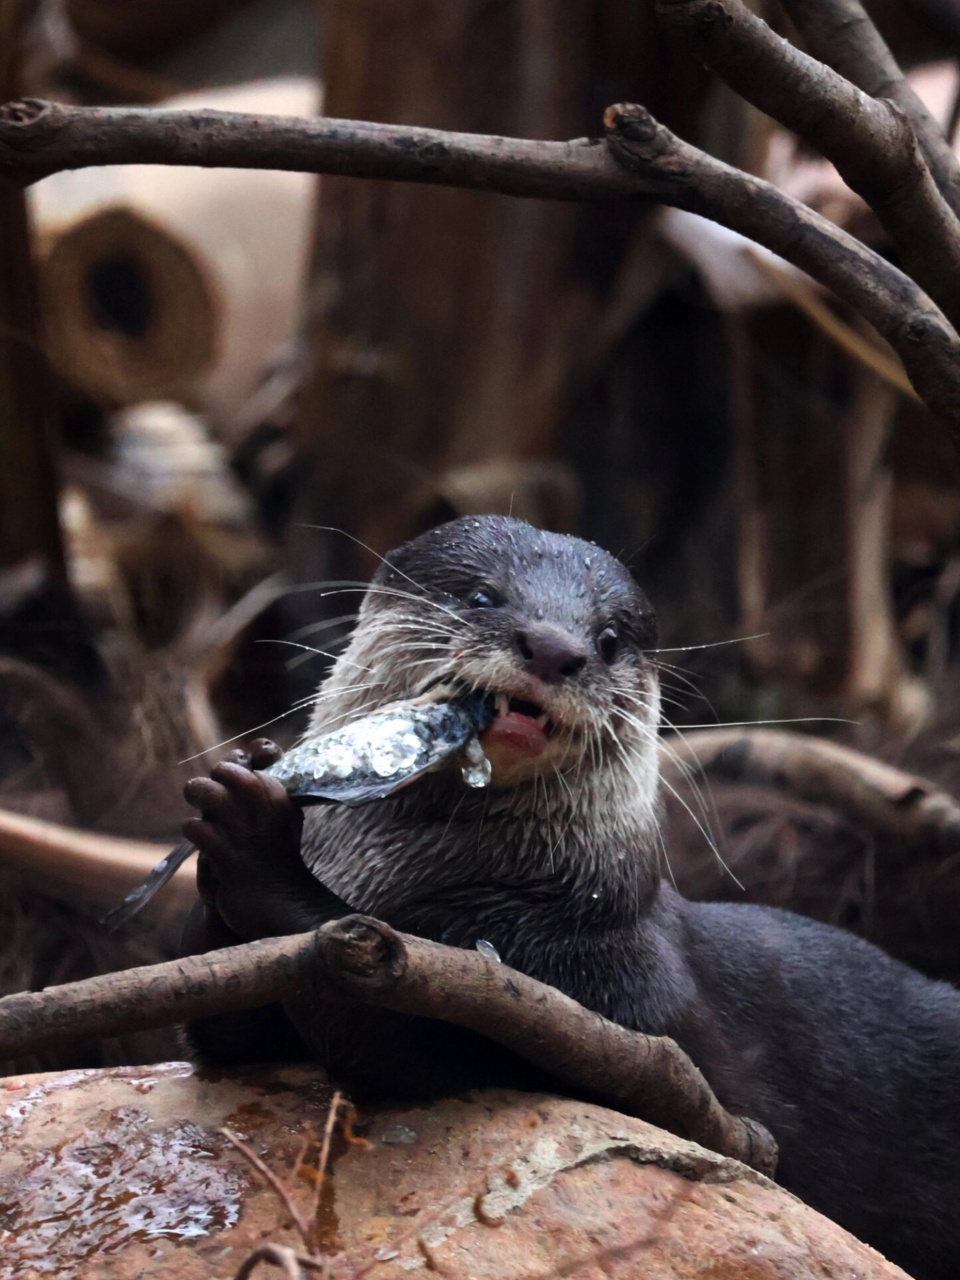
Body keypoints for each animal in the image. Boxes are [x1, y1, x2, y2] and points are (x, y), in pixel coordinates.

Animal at [181, 517, 960, 1280]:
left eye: (609, 639)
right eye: (483, 597)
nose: (556, 649)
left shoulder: (620, 1005)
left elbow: (387, 1032)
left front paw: (255, 839)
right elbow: (229, 1040)